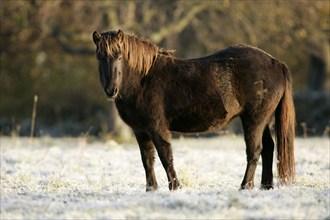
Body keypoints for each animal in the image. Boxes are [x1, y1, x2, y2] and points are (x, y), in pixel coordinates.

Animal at [91, 29, 296, 191]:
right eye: (99, 58)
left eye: (119, 56)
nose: (111, 90)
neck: (143, 79)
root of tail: (276, 63)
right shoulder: (140, 130)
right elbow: (147, 160)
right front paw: (151, 189)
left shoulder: (157, 128)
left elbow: (165, 156)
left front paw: (175, 187)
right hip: (263, 121)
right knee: (268, 148)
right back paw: (266, 187)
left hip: (254, 120)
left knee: (255, 151)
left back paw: (245, 186)